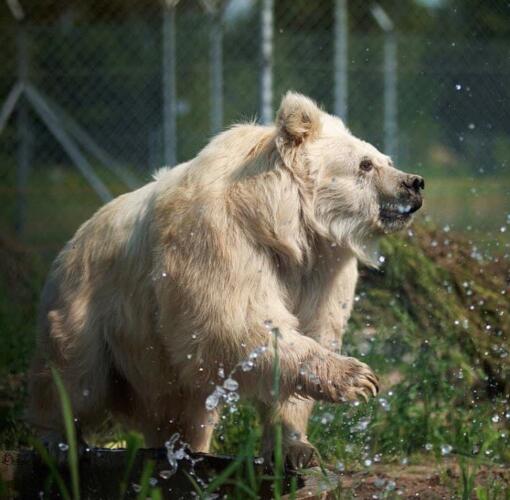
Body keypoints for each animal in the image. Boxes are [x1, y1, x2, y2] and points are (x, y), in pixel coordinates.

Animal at [27, 93, 424, 468]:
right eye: (366, 164)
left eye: (385, 159)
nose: (414, 183)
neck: (282, 225)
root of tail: (72, 242)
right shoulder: (219, 240)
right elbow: (234, 322)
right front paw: (357, 377)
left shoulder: (322, 267)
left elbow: (311, 328)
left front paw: (295, 447)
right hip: (88, 306)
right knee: (76, 379)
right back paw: (59, 443)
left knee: (184, 411)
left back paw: (184, 446)